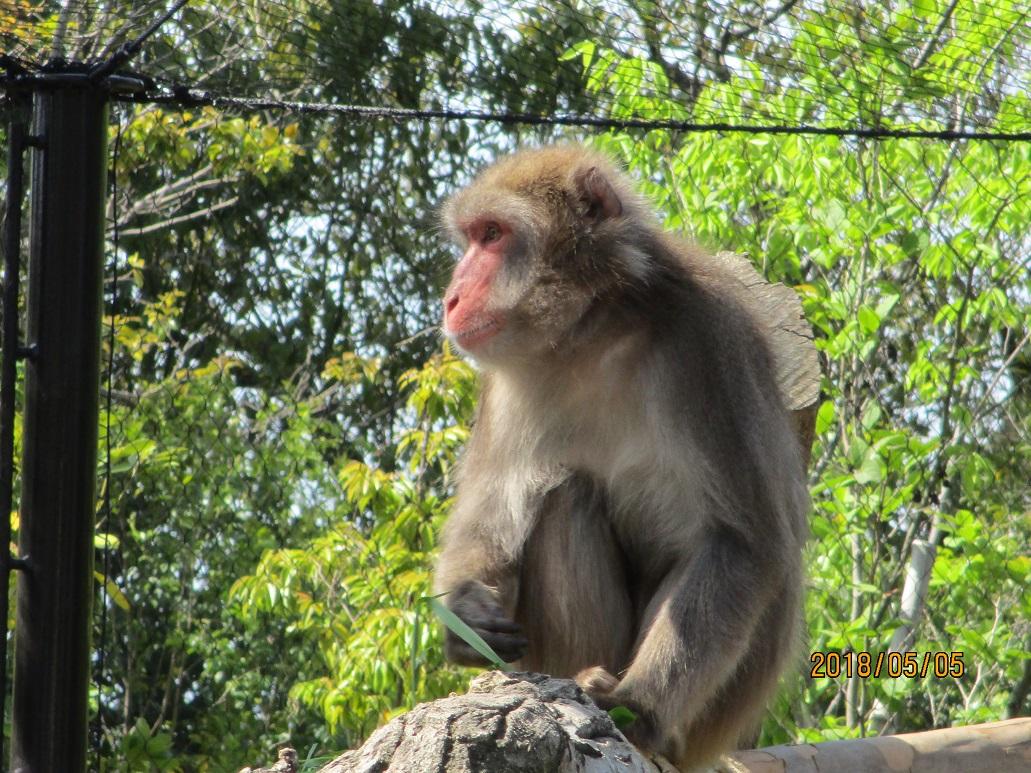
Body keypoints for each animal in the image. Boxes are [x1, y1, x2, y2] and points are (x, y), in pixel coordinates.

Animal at [433, 144, 812, 770]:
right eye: (470, 237)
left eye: (492, 235)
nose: (452, 298)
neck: (592, 329)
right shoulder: (506, 381)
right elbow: (489, 514)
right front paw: (467, 610)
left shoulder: (709, 341)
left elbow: (742, 544)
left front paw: (639, 705)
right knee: (563, 495)